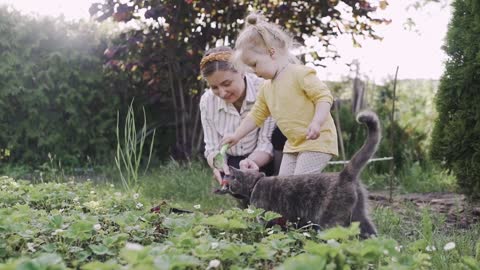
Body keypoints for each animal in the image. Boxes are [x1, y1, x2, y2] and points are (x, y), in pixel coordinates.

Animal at [223, 110, 380, 237]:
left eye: (230, 180)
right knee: (372, 236)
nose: (227, 187)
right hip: (359, 216)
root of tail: (344, 174)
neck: (255, 183)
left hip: (329, 220)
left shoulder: (263, 217)